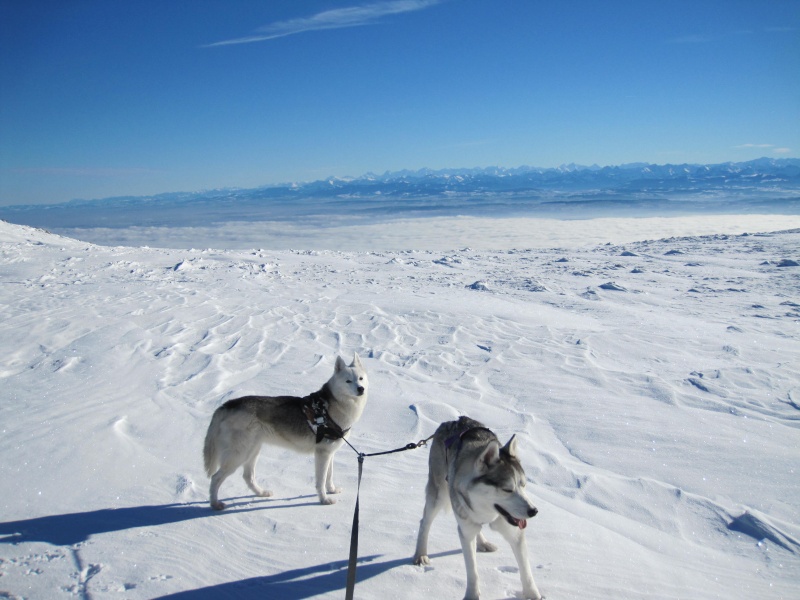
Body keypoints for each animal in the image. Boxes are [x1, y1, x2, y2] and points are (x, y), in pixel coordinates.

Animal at [205, 354, 370, 508]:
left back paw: (262, 493)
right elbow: (321, 480)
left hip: (253, 451)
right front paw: (324, 500)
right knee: (215, 478)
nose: (361, 389)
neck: (331, 407)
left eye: (360, 379)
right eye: (348, 381)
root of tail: (227, 405)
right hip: (239, 454)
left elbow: (329, 476)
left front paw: (332, 490)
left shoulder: (330, 453)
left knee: (247, 476)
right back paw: (215, 504)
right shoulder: (322, 453)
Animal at [412, 418, 544, 600]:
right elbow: (472, 571)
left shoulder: (515, 533)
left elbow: (526, 571)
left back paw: (483, 543)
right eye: (507, 489)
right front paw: (472, 595)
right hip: (438, 496)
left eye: (523, 485)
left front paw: (532, 594)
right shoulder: (466, 532)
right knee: (424, 522)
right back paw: (421, 554)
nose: (534, 511)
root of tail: (450, 422)